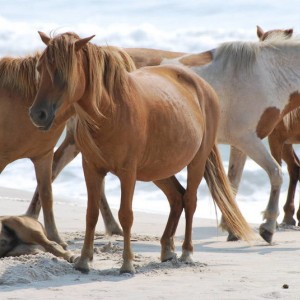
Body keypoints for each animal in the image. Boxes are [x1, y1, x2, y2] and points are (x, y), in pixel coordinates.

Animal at [29, 32, 252, 274]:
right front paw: (84, 261)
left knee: (190, 200)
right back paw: (167, 250)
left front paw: (127, 264)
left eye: (61, 74)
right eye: (40, 68)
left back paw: (186, 252)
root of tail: (203, 86)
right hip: (159, 169)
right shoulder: (91, 168)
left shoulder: (128, 172)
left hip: (197, 162)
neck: (110, 111)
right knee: (177, 198)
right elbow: (91, 214)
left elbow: (126, 215)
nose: (37, 114)